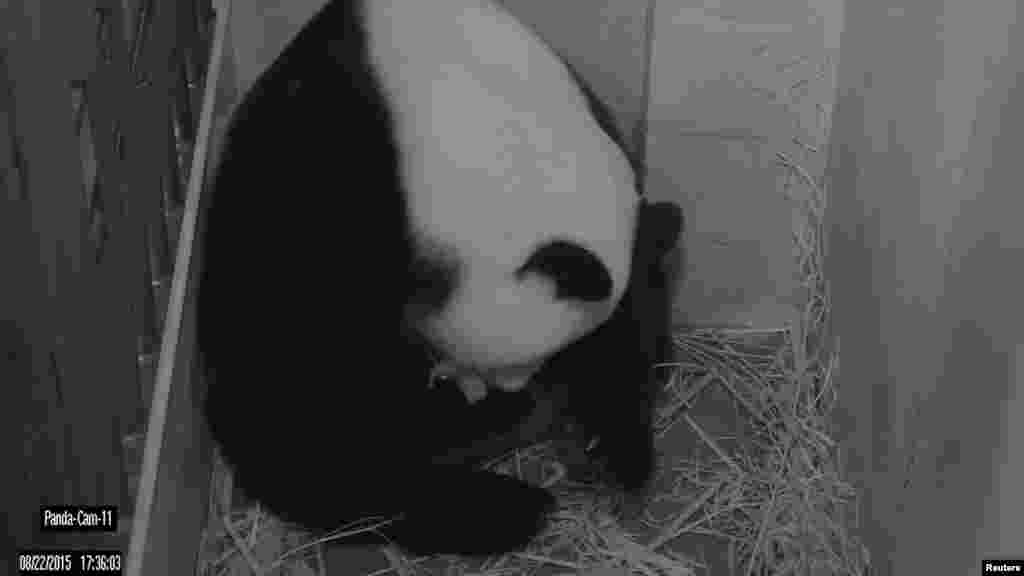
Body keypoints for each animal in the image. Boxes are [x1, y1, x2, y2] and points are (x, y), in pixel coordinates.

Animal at [197, 0, 683, 558]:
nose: (509, 389)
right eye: (504, 364)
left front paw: (618, 447)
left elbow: (631, 318)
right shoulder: (348, 197)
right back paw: (499, 499)